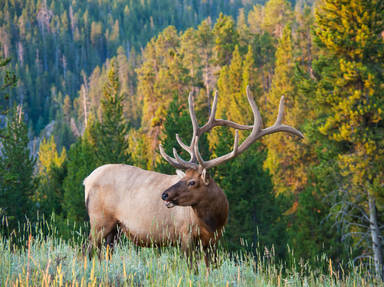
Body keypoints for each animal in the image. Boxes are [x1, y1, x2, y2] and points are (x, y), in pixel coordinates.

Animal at [84, 86, 304, 266]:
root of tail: (87, 180)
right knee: (89, 251)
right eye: (182, 179)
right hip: (99, 220)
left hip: (115, 230)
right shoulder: (185, 235)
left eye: (191, 181)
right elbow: (192, 269)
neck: (213, 221)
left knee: (105, 254)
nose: (164, 195)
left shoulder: (213, 242)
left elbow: (210, 269)